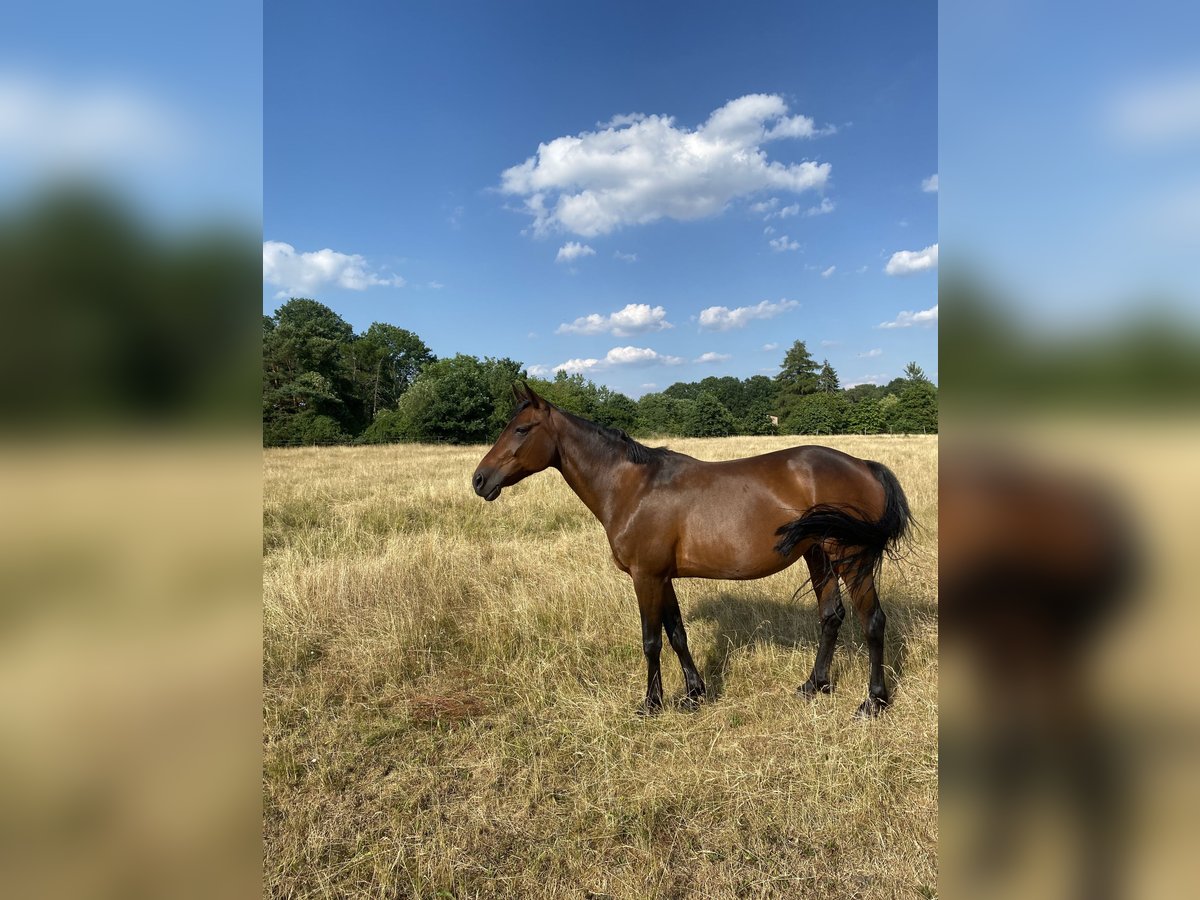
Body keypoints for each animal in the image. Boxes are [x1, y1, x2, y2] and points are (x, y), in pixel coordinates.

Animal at [468, 381, 907, 720]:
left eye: (522, 429)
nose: (479, 479)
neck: (632, 486)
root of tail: (864, 465)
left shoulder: (645, 576)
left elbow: (651, 641)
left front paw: (651, 703)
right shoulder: (662, 577)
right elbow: (677, 633)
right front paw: (695, 693)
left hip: (850, 557)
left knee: (872, 622)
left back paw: (873, 702)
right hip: (817, 554)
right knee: (831, 616)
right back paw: (814, 685)